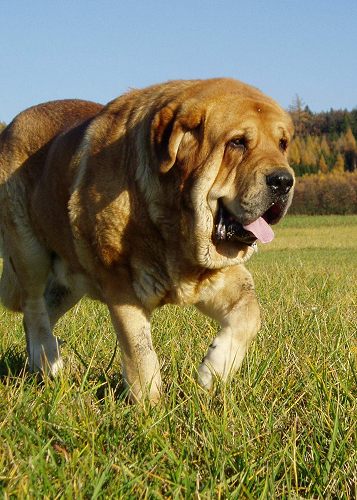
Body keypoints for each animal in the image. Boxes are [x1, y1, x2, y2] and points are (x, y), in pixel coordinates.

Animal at [0, 80, 294, 404]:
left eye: (282, 144)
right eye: (238, 142)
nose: (284, 180)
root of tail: (12, 125)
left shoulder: (219, 276)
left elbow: (250, 313)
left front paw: (212, 373)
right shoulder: (122, 286)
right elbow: (140, 351)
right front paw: (149, 405)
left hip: (69, 279)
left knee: (37, 313)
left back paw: (46, 365)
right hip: (29, 253)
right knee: (34, 309)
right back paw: (47, 362)